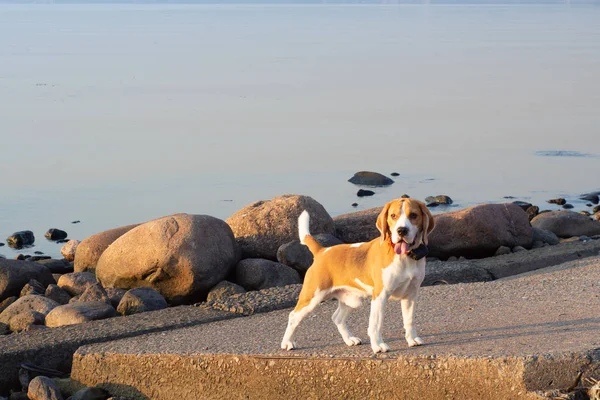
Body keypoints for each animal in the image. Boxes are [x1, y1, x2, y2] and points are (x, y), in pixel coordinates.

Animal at [282, 197, 436, 354]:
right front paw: (378, 345)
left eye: (413, 215)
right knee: (293, 316)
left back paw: (349, 339)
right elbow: (376, 325)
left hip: (351, 299)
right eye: (393, 216)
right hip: (312, 298)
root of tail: (322, 251)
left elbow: (409, 320)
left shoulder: (410, 295)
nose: (402, 230)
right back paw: (287, 342)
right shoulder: (380, 296)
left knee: (337, 317)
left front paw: (412, 339)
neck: (405, 257)